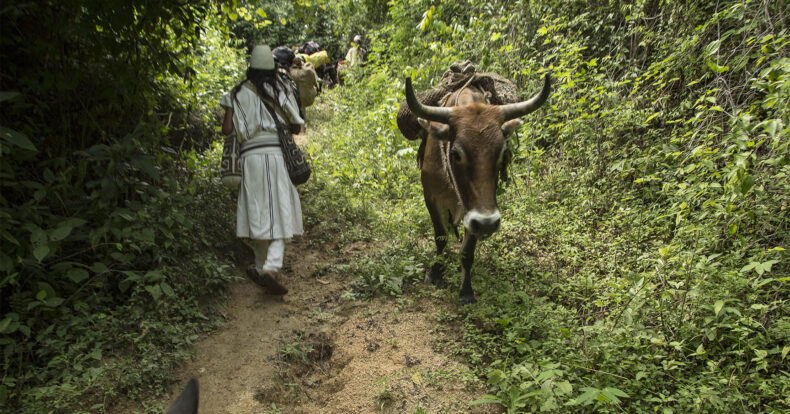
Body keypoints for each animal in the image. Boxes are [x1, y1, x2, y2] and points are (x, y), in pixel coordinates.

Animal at [408, 73, 552, 304]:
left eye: (503, 152)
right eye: (456, 153)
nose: (488, 225)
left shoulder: (475, 213)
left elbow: (467, 252)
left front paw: (466, 291)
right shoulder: (431, 196)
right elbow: (440, 238)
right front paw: (436, 272)